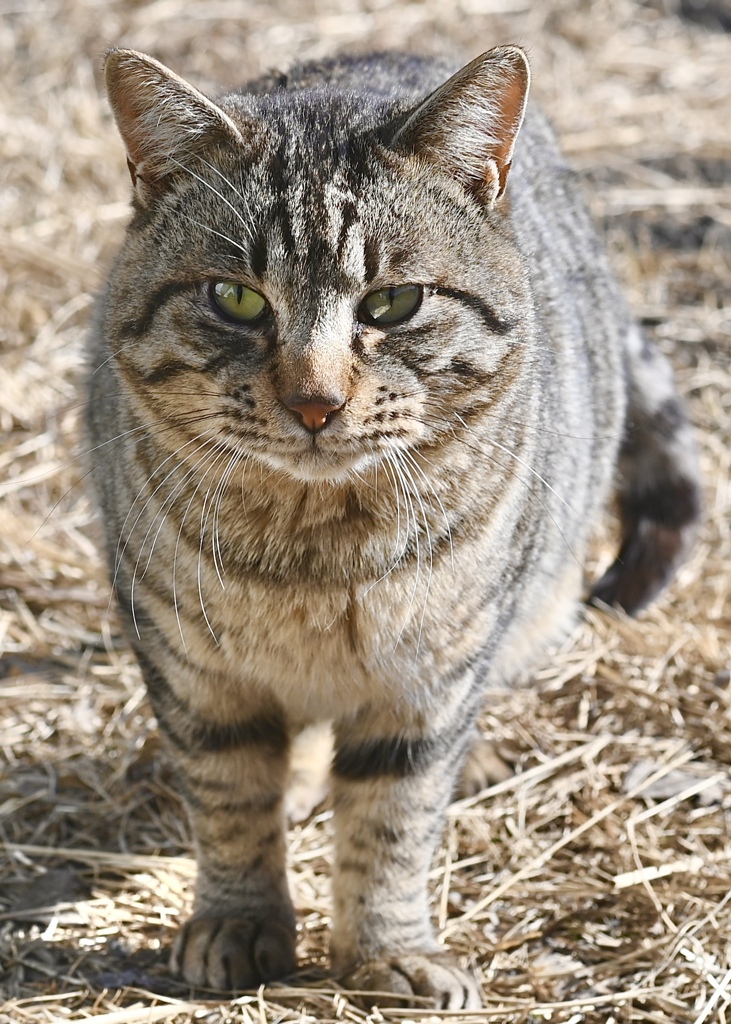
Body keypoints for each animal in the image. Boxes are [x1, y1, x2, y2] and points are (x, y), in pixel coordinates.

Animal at [88, 46, 696, 1007]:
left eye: (393, 304)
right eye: (236, 299)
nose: (313, 402)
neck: (311, 555)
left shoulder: (430, 677)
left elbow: (392, 819)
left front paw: (385, 950)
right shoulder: (189, 669)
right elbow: (229, 800)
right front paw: (237, 921)